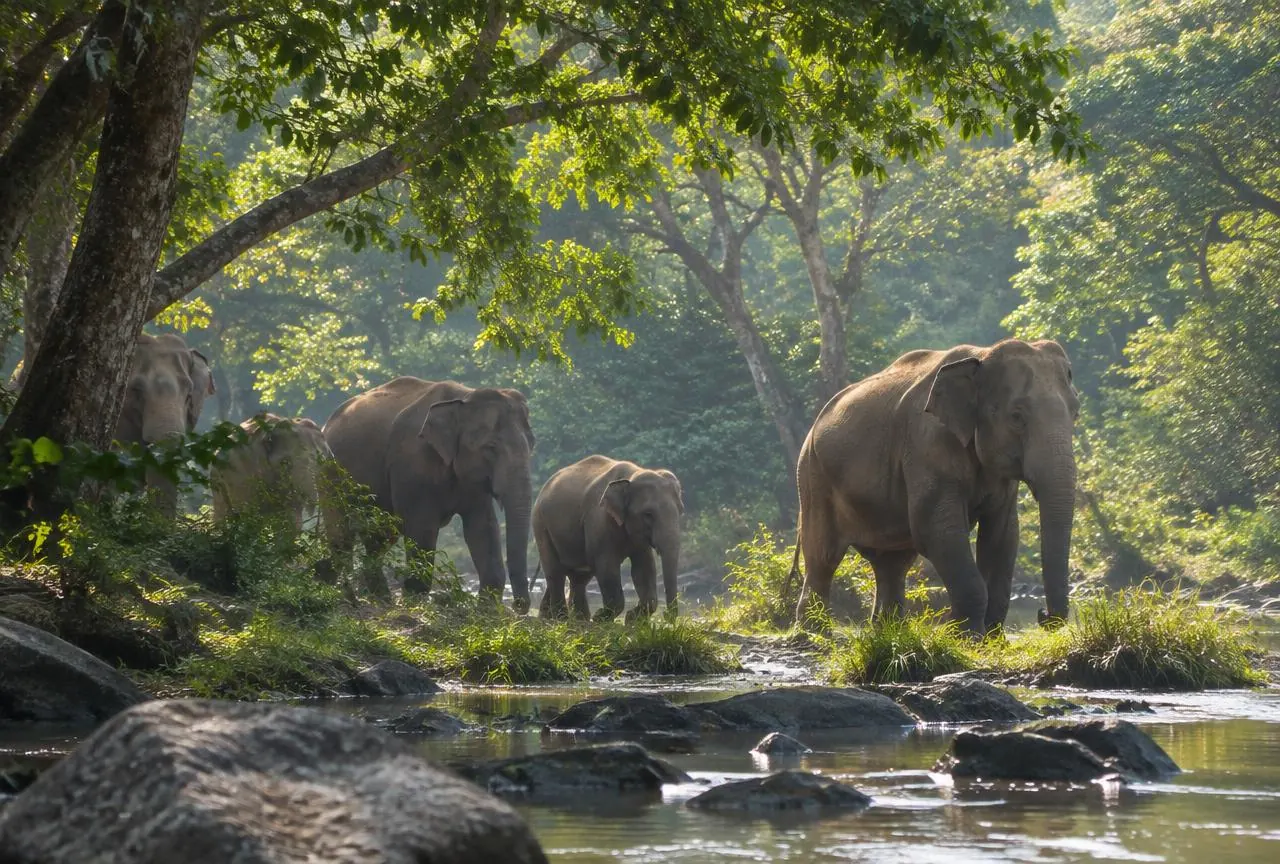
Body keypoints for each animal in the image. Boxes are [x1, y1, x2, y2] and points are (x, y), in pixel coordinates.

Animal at [321, 378, 535, 610]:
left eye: (531, 445)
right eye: (491, 447)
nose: (519, 606)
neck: (464, 397)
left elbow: (482, 528)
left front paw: (486, 611)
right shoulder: (412, 464)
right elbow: (422, 527)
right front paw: (414, 601)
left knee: (379, 537)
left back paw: (381, 599)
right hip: (331, 474)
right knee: (342, 533)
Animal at [533, 455, 683, 622]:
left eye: (681, 510)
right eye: (648, 514)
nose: (667, 616)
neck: (632, 475)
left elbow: (644, 567)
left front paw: (630, 620)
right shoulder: (598, 519)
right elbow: (607, 566)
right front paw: (600, 618)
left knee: (578, 578)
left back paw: (573, 619)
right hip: (541, 524)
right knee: (555, 572)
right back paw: (562, 619)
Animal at [791, 338, 1079, 636]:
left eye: (1076, 413)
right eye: (1017, 417)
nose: (1042, 614)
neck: (982, 355)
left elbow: (1003, 534)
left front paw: (991, 637)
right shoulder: (926, 444)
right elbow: (937, 530)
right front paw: (967, 637)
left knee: (893, 563)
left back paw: (888, 630)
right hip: (813, 475)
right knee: (823, 556)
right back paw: (814, 632)